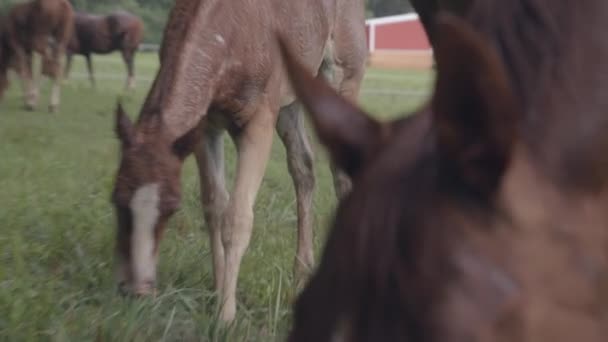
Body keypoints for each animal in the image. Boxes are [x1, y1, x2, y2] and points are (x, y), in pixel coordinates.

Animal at [109, 0, 366, 324]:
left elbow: (238, 218)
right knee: (303, 167)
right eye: (117, 200)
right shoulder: (205, 126)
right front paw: (218, 293)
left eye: (171, 208)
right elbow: (215, 208)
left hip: (342, 80)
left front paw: (226, 317)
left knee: (342, 174)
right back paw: (301, 273)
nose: (135, 291)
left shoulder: (259, 122)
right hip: (292, 97)